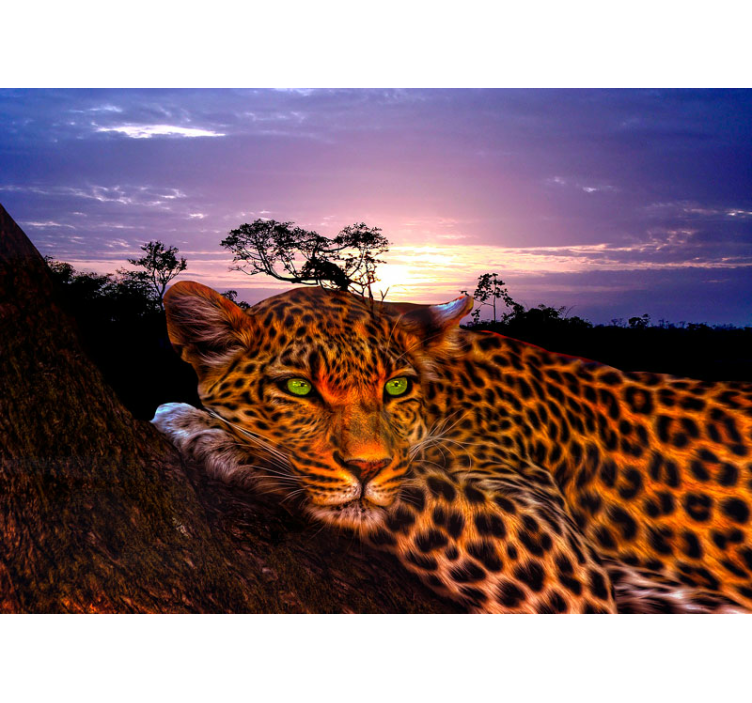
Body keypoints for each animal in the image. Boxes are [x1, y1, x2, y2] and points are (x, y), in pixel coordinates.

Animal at [153, 280, 752, 613]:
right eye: (299, 387)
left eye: (396, 386)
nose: (367, 466)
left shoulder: (556, 554)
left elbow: (413, 489)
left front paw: (206, 429)